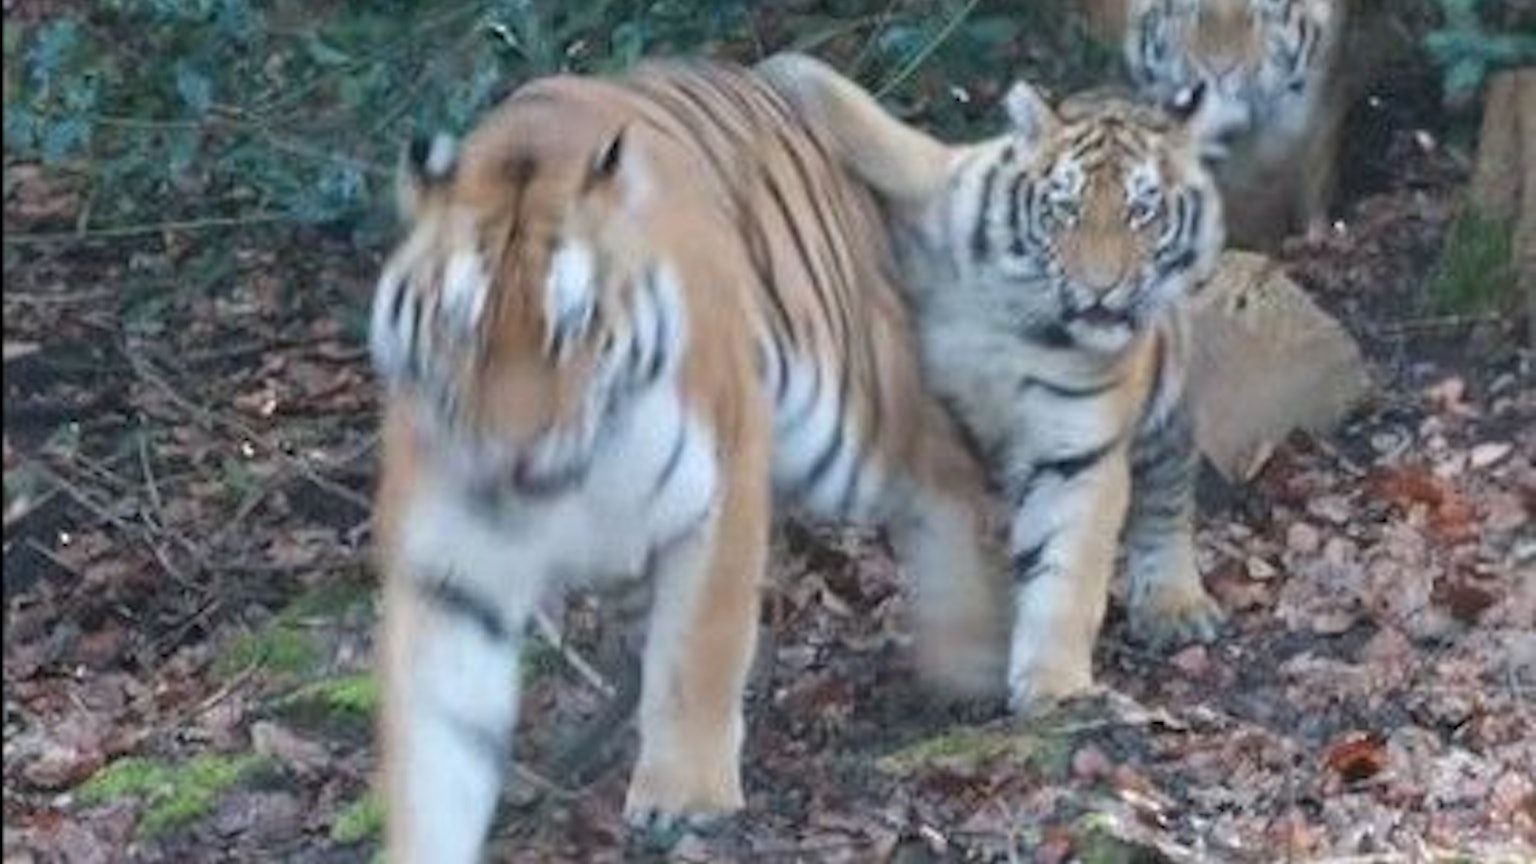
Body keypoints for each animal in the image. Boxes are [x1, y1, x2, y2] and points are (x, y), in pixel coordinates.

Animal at [368, 58, 1007, 861]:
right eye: (463, 330)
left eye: (571, 328)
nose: (514, 452)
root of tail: (760, 77)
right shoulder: (448, 568)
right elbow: (437, 741)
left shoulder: (721, 487)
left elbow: (698, 653)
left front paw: (685, 800)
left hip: (846, 406)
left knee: (944, 466)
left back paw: (970, 660)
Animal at [757, 53, 1228, 712]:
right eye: (1065, 209)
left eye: (1143, 212)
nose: (1100, 288)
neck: (1026, 318)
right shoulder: (940, 177)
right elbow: (868, 120)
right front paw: (783, 72)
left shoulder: (1076, 454)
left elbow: (1065, 572)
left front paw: (1055, 687)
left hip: (1170, 400)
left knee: (1167, 491)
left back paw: (1174, 603)